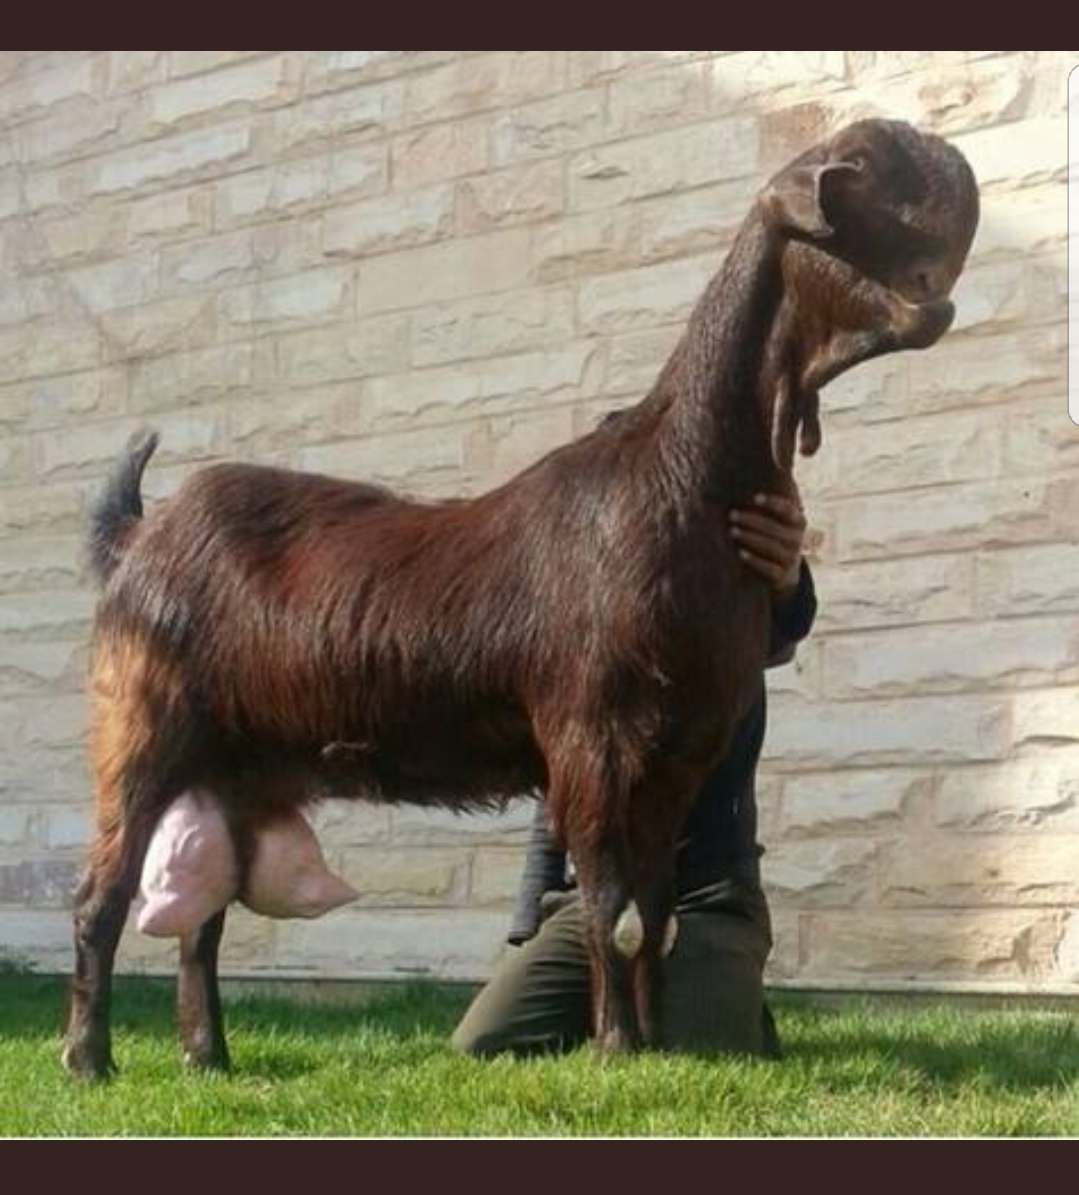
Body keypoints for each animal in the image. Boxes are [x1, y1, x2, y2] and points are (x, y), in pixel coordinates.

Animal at [63, 119, 978, 1078]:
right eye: (853, 191)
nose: (934, 300)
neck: (682, 480)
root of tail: (139, 536)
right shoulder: (592, 736)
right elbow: (609, 906)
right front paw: (614, 1049)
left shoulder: (679, 752)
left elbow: (653, 914)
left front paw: (654, 1044)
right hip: (142, 730)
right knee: (102, 895)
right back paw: (90, 1060)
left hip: (236, 766)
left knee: (200, 920)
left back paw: (210, 1057)